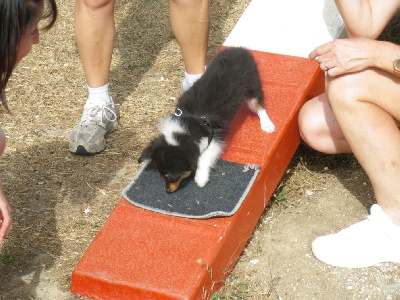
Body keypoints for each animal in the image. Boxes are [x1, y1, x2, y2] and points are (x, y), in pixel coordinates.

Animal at [138, 47, 276, 192]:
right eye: (161, 175)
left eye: (170, 176)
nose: (167, 191)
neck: (187, 127)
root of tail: (240, 49)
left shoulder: (215, 135)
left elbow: (204, 157)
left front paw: (200, 179)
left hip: (252, 84)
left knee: (259, 105)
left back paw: (267, 125)